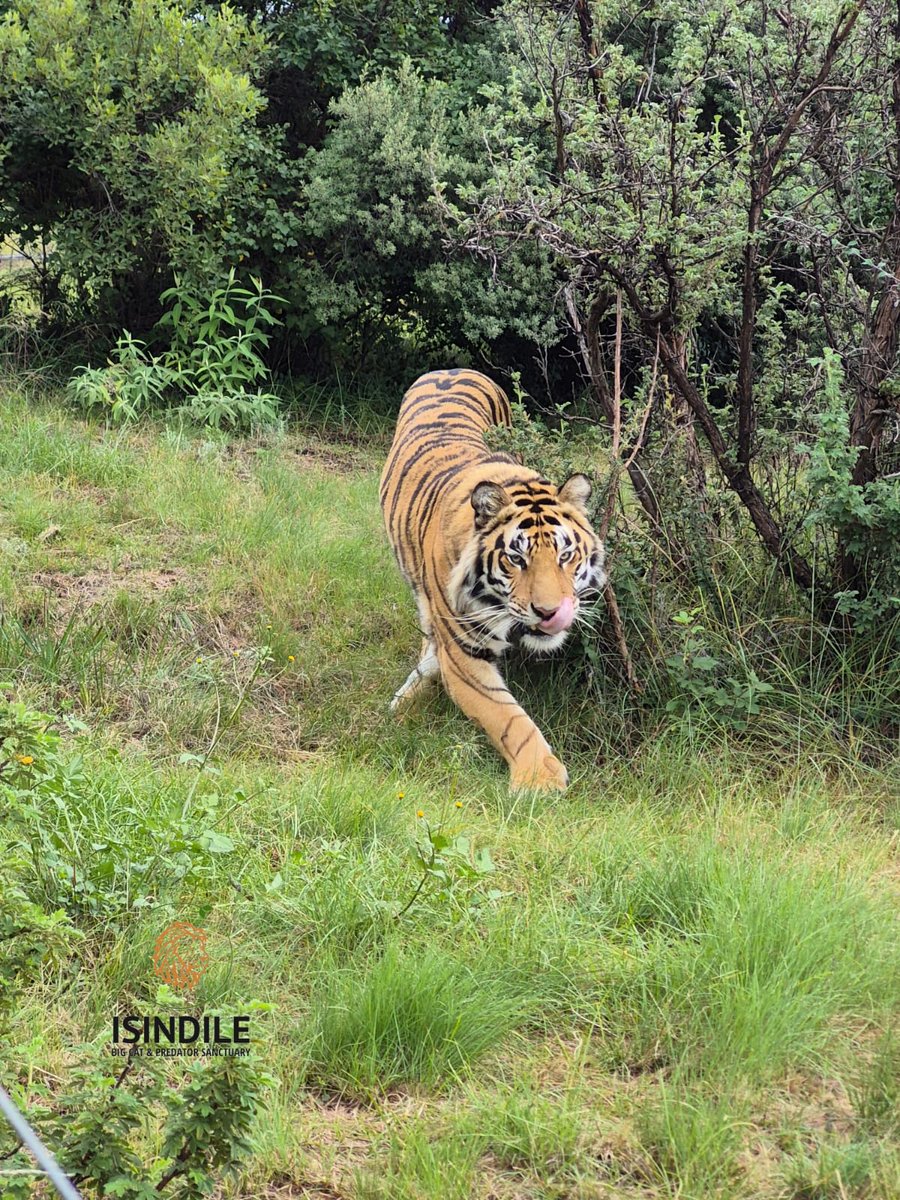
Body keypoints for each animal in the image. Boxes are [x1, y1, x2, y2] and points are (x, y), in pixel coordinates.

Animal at [379, 368, 606, 792]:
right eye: (516, 559)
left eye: (565, 556)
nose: (550, 613)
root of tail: (451, 369)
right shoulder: (463, 652)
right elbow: (506, 716)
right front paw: (539, 779)